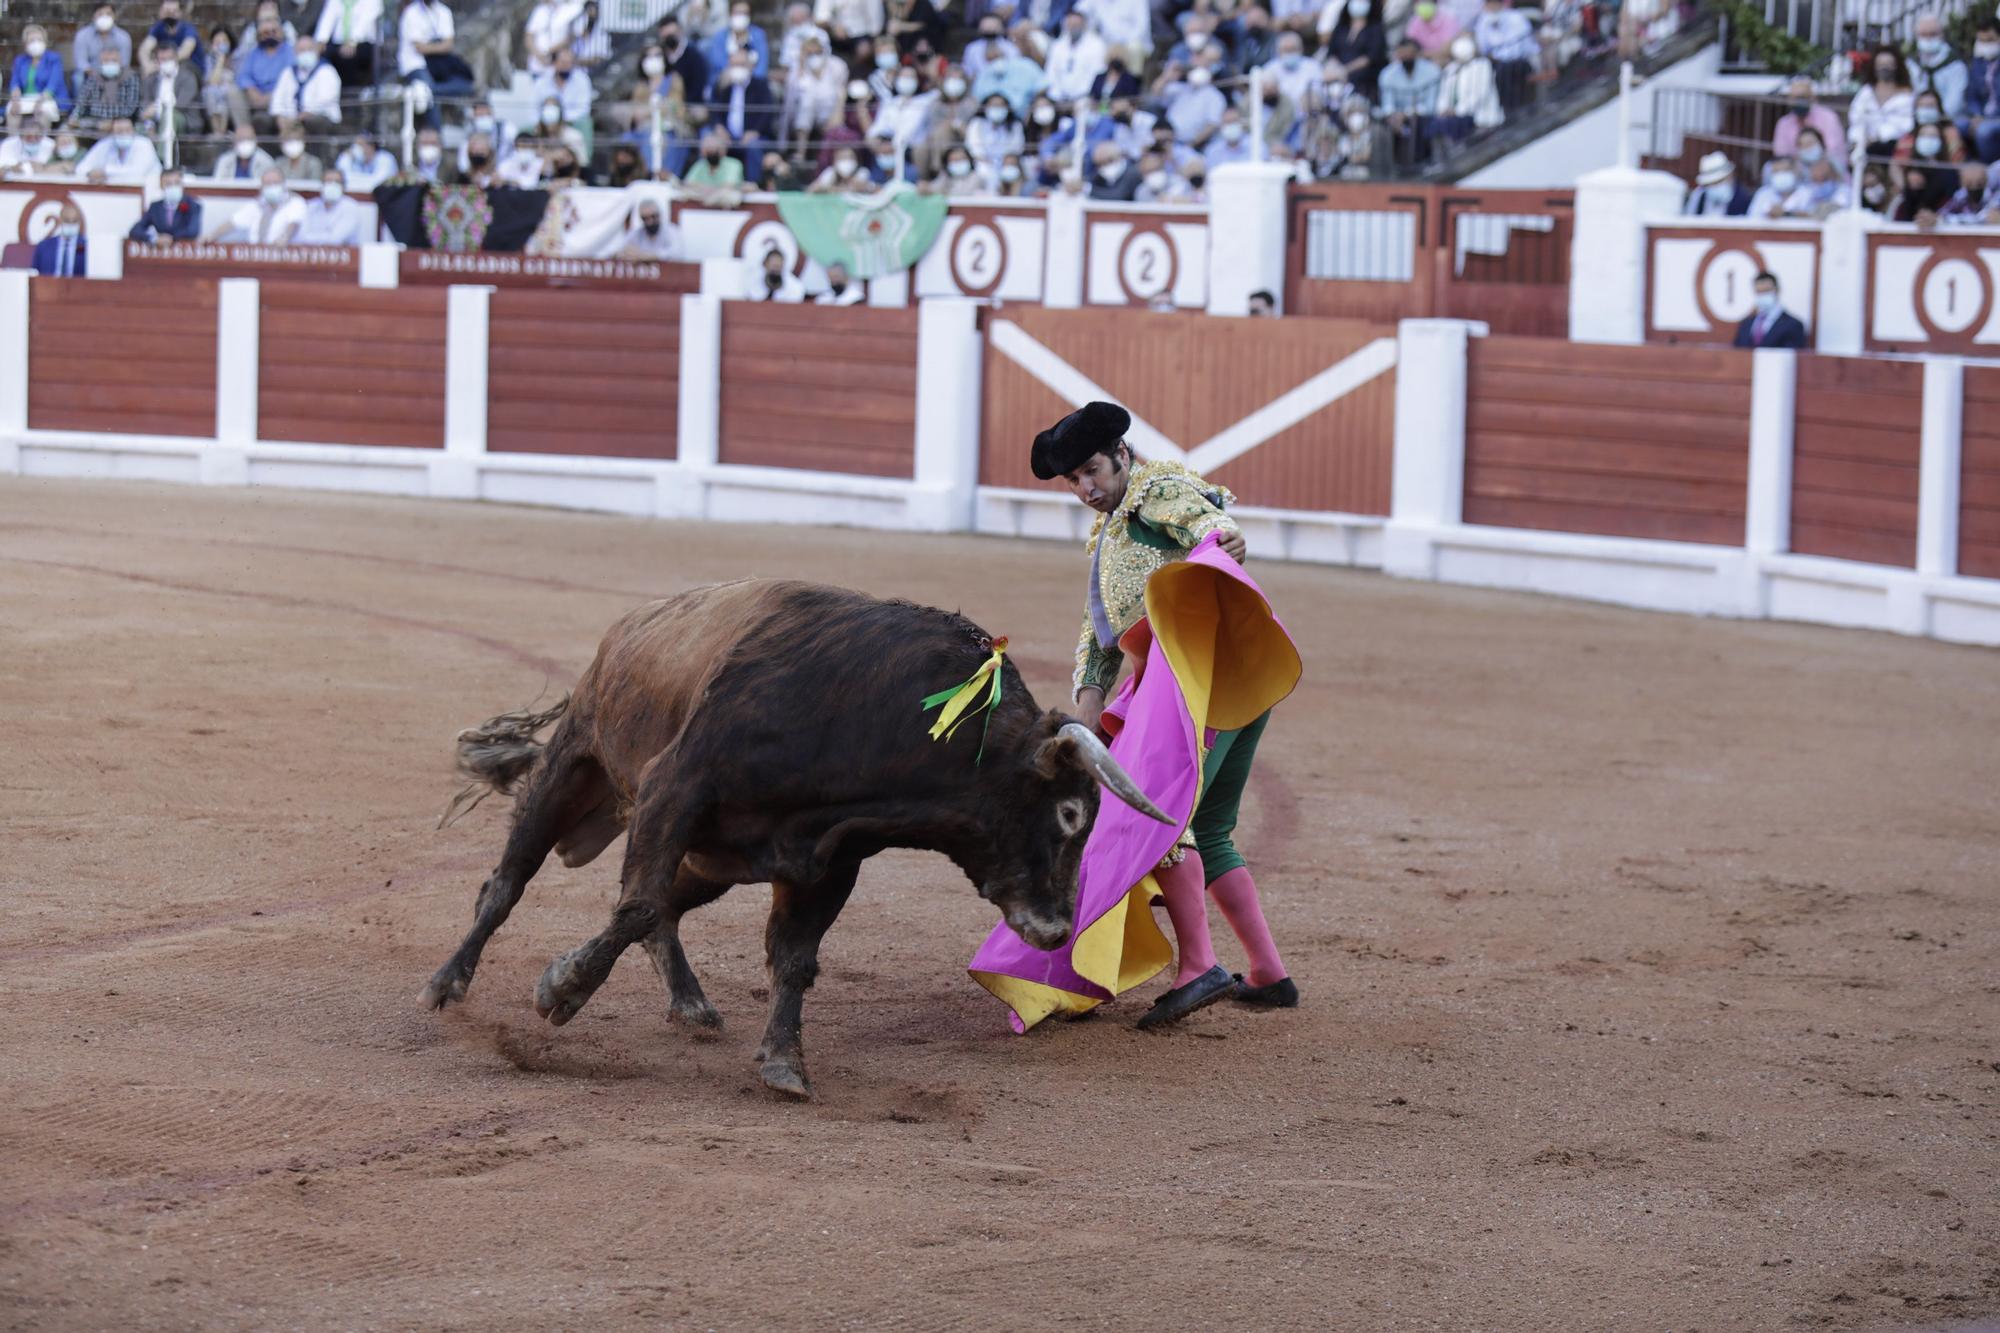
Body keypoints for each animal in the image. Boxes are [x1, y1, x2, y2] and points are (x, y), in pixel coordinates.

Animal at [424, 576, 1168, 1096]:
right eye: (1070, 814)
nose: (1056, 928)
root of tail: (633, 623)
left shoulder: (827, 860)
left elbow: (792, 958)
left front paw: (783, 1062)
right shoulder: (675, 787)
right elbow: (631, 907)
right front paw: (561, 990)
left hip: (714, 860)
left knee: (665, 909)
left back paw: (691, 1004)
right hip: (575, 762)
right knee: (511, 882)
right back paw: (445, 985)